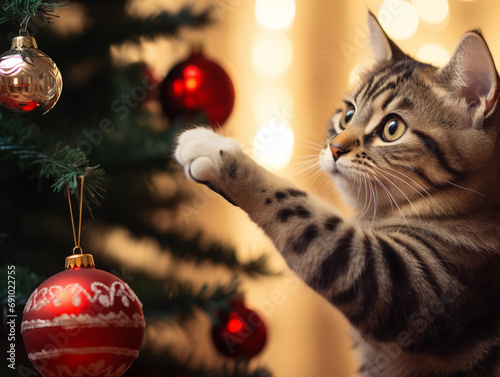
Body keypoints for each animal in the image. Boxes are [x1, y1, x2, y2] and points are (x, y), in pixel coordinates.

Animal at [174, 11, 500, 376]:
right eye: (347, 114)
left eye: (392, 128)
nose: (334, 148)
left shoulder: (408, 284)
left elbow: (295, 205)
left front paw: (218, 153)